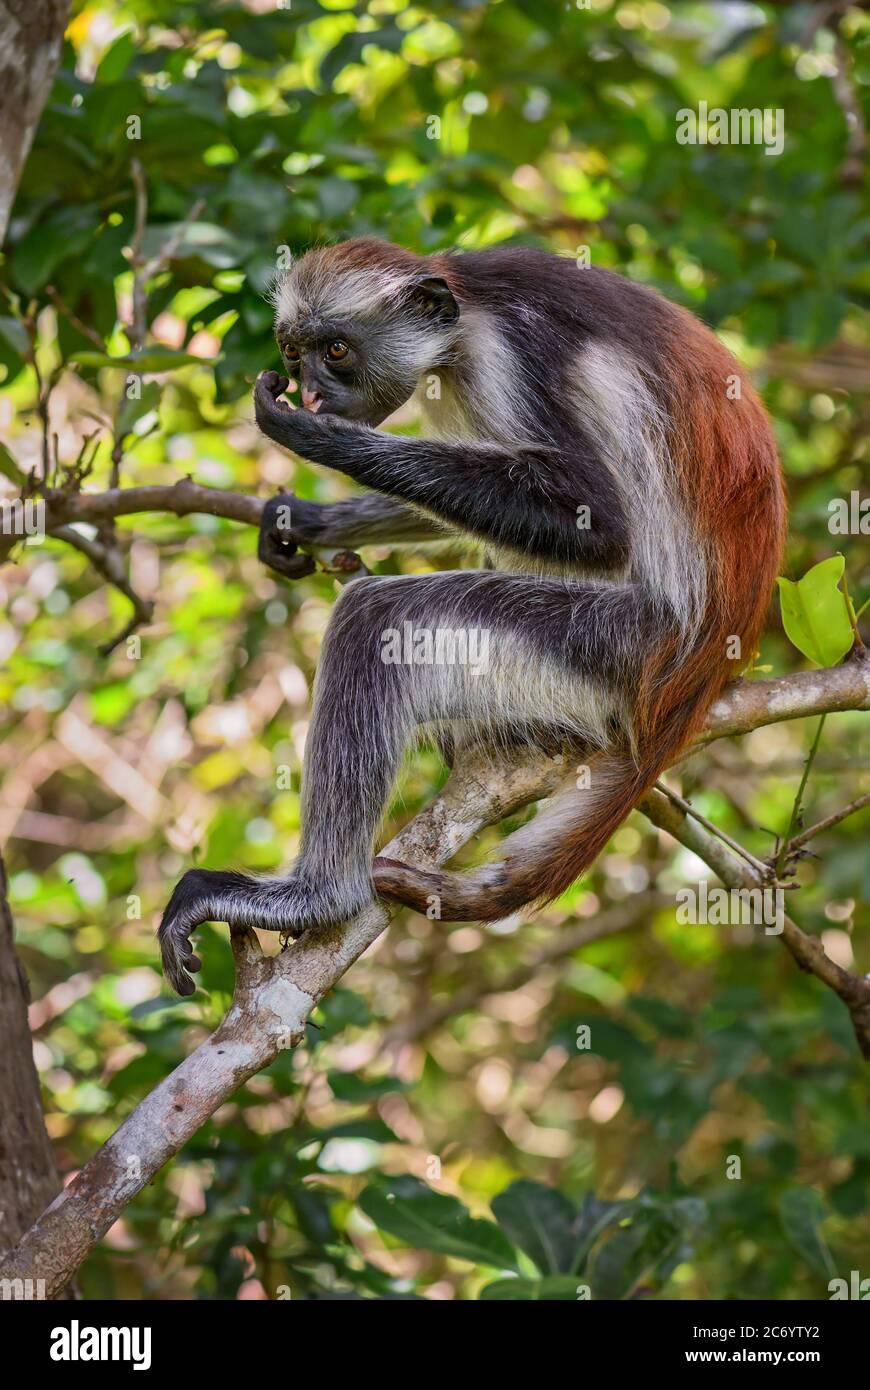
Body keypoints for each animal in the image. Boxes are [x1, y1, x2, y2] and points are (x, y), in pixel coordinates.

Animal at [157, 239, 783, 1000]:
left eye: (335, 350)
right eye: (295, 352)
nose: (313, 392)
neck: (471, 304)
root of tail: (697, 676)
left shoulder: (512, 356)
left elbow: (599, 525)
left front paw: (316, 437)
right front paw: (309, 521)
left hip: (614, 643)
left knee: (378, 617)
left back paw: (319, 899)